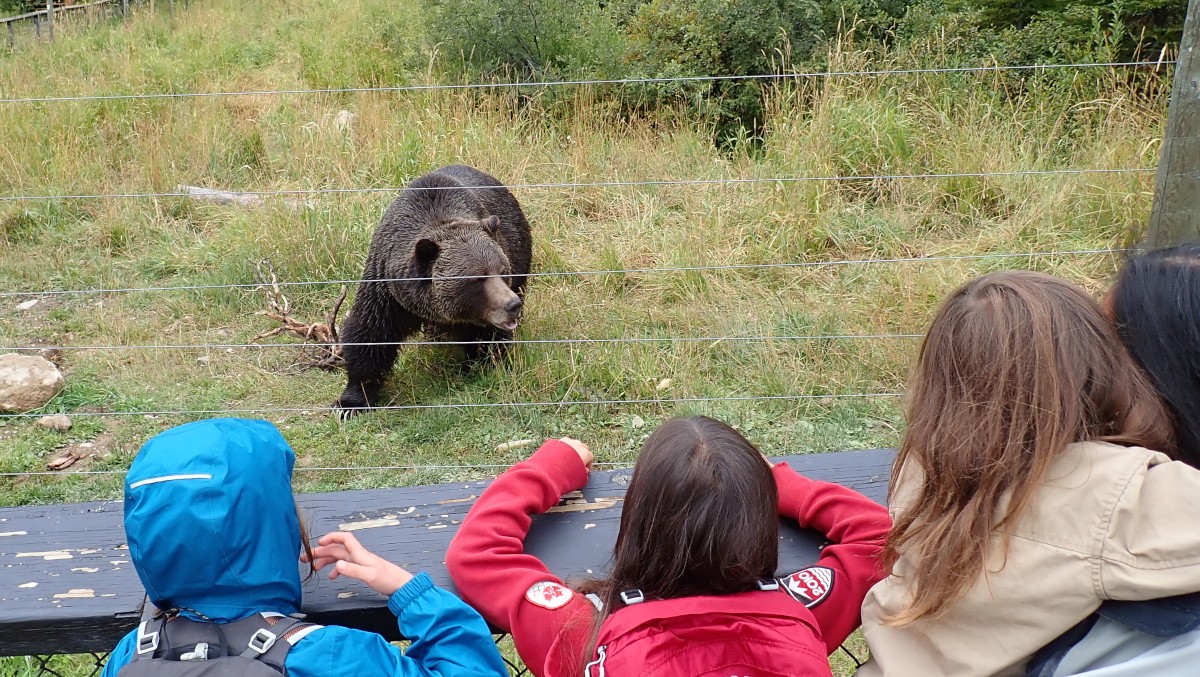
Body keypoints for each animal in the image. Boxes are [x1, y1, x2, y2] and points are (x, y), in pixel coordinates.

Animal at [333, 166, 530, 415]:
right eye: (477, 278)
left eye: (502, 270)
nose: (512, 304)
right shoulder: (387, 291)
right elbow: (370, 333)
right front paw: (350, 403)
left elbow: (489, 339)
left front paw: (484, 365)